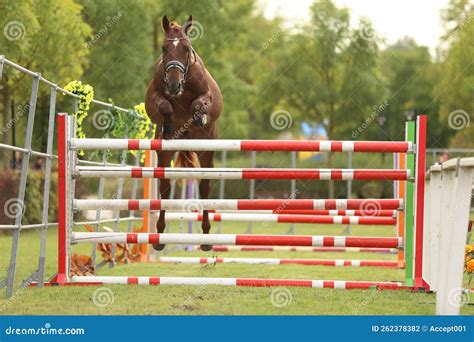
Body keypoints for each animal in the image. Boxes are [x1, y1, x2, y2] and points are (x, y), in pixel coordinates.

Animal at [144, 15, 222, 251]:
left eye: (186, 49)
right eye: (164, 48)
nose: (173, 84)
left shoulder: (206, 95)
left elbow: (199, 104)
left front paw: (199, 117)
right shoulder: (157, 95)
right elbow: (165, 106)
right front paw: (169, 125)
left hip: (207, 152)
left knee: (204, 188)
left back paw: (205, 239)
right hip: (164, 154)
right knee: (165, 189)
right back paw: (159, 236)